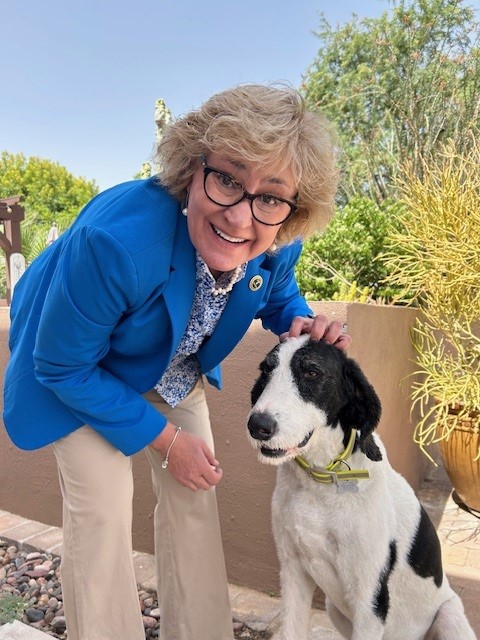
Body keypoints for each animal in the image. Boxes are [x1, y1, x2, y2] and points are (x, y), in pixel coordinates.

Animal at [248, 336, 476, 640]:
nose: (257, 426)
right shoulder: (293, 572)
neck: (319, 482)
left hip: (449, 615)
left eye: (311, 372)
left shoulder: (369, 599)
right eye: (265, 370)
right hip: (333, 608)